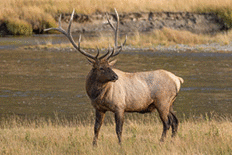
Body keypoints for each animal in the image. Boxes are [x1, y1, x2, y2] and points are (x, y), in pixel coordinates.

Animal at [44, 8, 183, 145]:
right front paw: (94, 145)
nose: (116, 77)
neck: (97, 95)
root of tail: (177, 80)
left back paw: (161, 142)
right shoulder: (99, 108)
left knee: (167, 123)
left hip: (162, 101)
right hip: (170, 103)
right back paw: (172, 141)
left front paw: (120, 145)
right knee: (175, 121)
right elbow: (96, 128)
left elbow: (118, 129)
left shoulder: (119, 106)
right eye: (101, 68)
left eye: (109, 66)